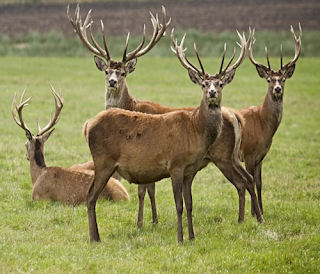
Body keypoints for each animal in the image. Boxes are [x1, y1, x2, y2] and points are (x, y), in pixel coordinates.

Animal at [67, 4, 264, 228]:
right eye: (107, 71)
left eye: (123, 72)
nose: (112, 82)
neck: (132, 105)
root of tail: (235, 116)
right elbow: (149, 188)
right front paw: (153, 220)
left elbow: (145, 190)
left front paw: (144, 222)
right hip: (233, 155)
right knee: (248, 179)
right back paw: (256, 217)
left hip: (222, 155)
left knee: (242, 182)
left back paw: (246, 219)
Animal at [240, 24, 302, 216]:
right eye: (268, 79)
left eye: (283, 79)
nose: (277, 89)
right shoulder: (248, 153)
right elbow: (251, 181)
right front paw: (254, 213)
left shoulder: (261, 156)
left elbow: (260, 183)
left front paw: (261, 210)